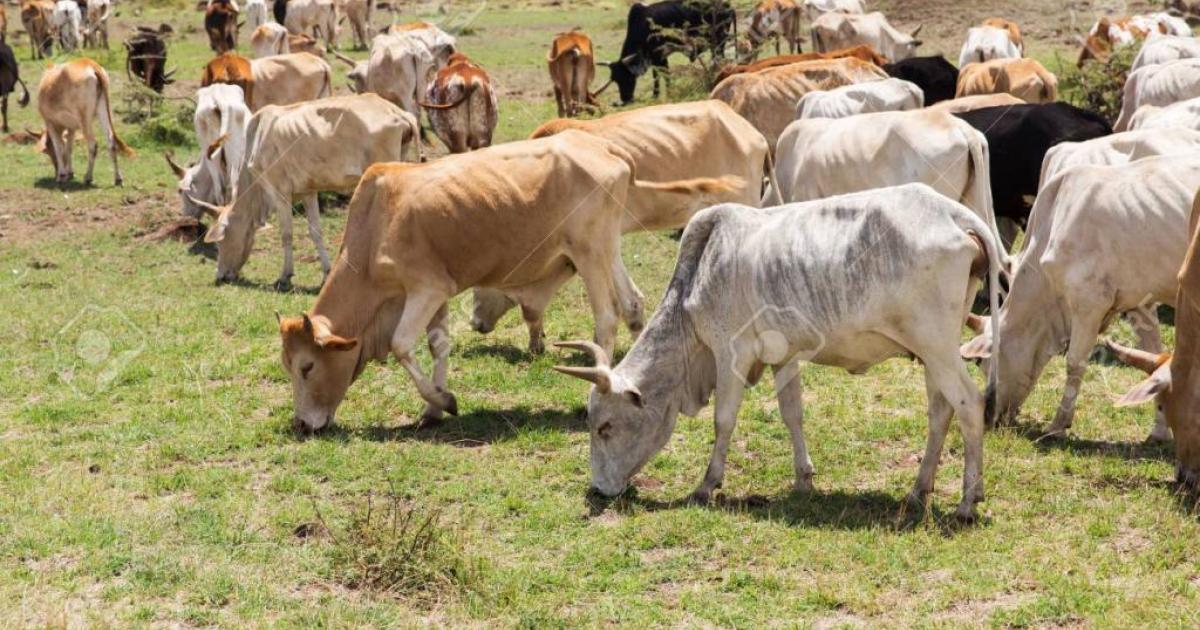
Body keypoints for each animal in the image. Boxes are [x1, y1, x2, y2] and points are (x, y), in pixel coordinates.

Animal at [187, 94, 421, 289]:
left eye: (220, 241)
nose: (220, 275)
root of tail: (399, 113)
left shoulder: (279, 191)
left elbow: (286, 233)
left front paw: (284, 276)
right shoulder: (308, 191)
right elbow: (315, 231)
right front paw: (327, 273)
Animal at [276, 129, 741, 432]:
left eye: (307, 366)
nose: (302, 424)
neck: (377, 224)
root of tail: (604, 148)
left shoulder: (423, 290)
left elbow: (402, 344)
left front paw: (442, 400)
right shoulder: (439, 291)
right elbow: (438, 345)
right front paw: (434, 409)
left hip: (589, 253)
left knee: (607, 318)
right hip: (607, 249)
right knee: (632, 304)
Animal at [555, 183, 1001, 521]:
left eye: (605, 427)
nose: (599, 489)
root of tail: (954, 214)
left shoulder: (730, 352)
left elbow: (723, 420)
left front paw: (706, 485)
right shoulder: (784, 357)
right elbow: (792, 414)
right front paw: (803, 479)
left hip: (937, 346)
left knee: (969, 405)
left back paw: (967, 502)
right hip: (931, 352)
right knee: (940, 411)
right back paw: (918, 490)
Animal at [602, 0, 736, 104]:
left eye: (628, 77)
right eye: (616, 80)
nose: (625, 99)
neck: (642, 26)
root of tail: (727, 5)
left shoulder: (659, 55)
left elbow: (663, 74)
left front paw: (667, 93)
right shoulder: (657, 57)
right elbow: (658, 74)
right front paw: (657, 95)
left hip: (718, 41)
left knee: (719, 59)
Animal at [961, 156, 1200, 442]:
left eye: (981, 362)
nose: (990, 419)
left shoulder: (1089, 303)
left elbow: (1075, 363)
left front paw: (1058, 424)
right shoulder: (1139, 304)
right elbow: (1153, 354)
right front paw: (1160, 430)